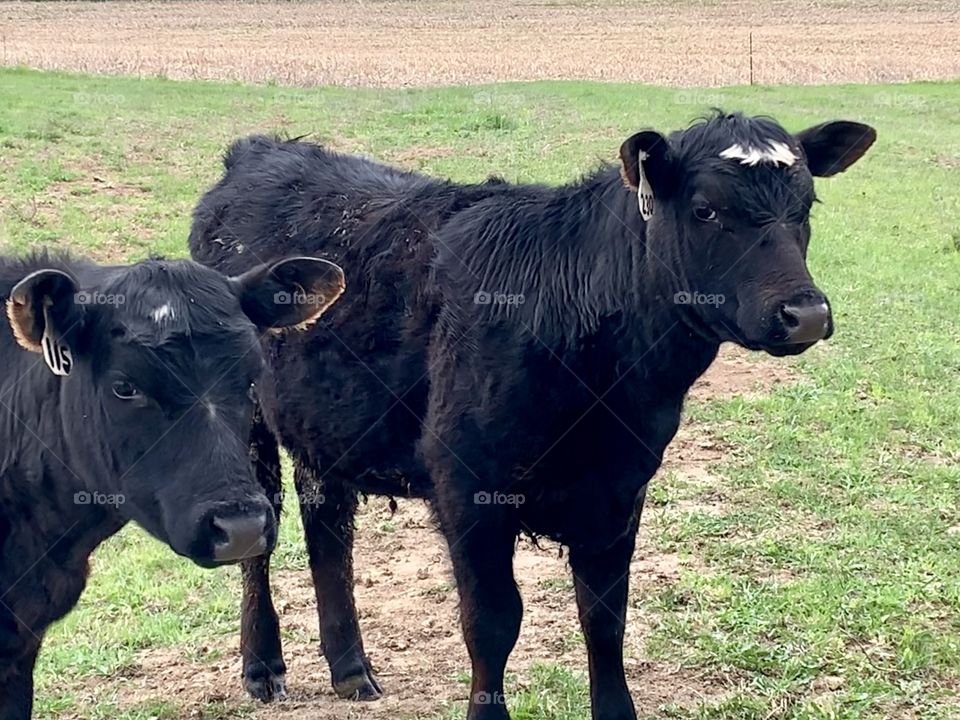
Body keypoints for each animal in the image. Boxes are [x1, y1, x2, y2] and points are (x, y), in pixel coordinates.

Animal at [189, 112, 876, 720]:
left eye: (805, 206)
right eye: (706, 208)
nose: (806, 313)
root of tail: (260, 150)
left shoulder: (619, 491)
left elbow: (604, 619)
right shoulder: (468, 491)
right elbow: (493, 624)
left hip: (325, 424)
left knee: (328, 524)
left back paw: (352, 669)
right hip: (246, 421)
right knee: (262, 538)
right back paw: (263, 668)